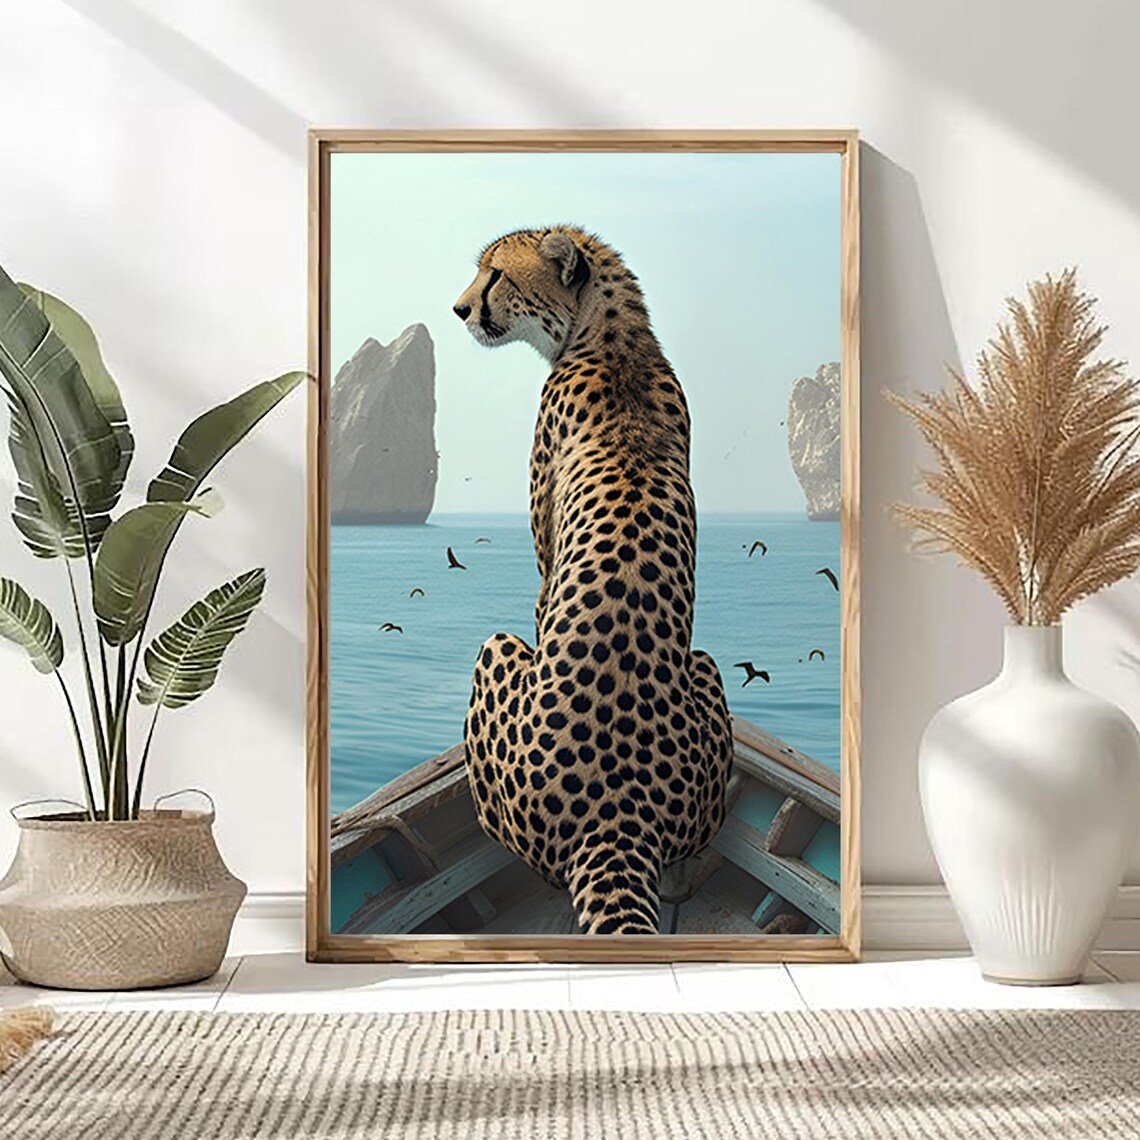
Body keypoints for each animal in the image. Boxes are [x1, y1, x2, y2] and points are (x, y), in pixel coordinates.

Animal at [454, 226, 733, 935]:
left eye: (496, 275)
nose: (459, 310)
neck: (612, 340)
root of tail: (617, 817)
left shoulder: (544, 559)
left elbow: (539, 595)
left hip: (498, 652)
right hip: (705, 669)